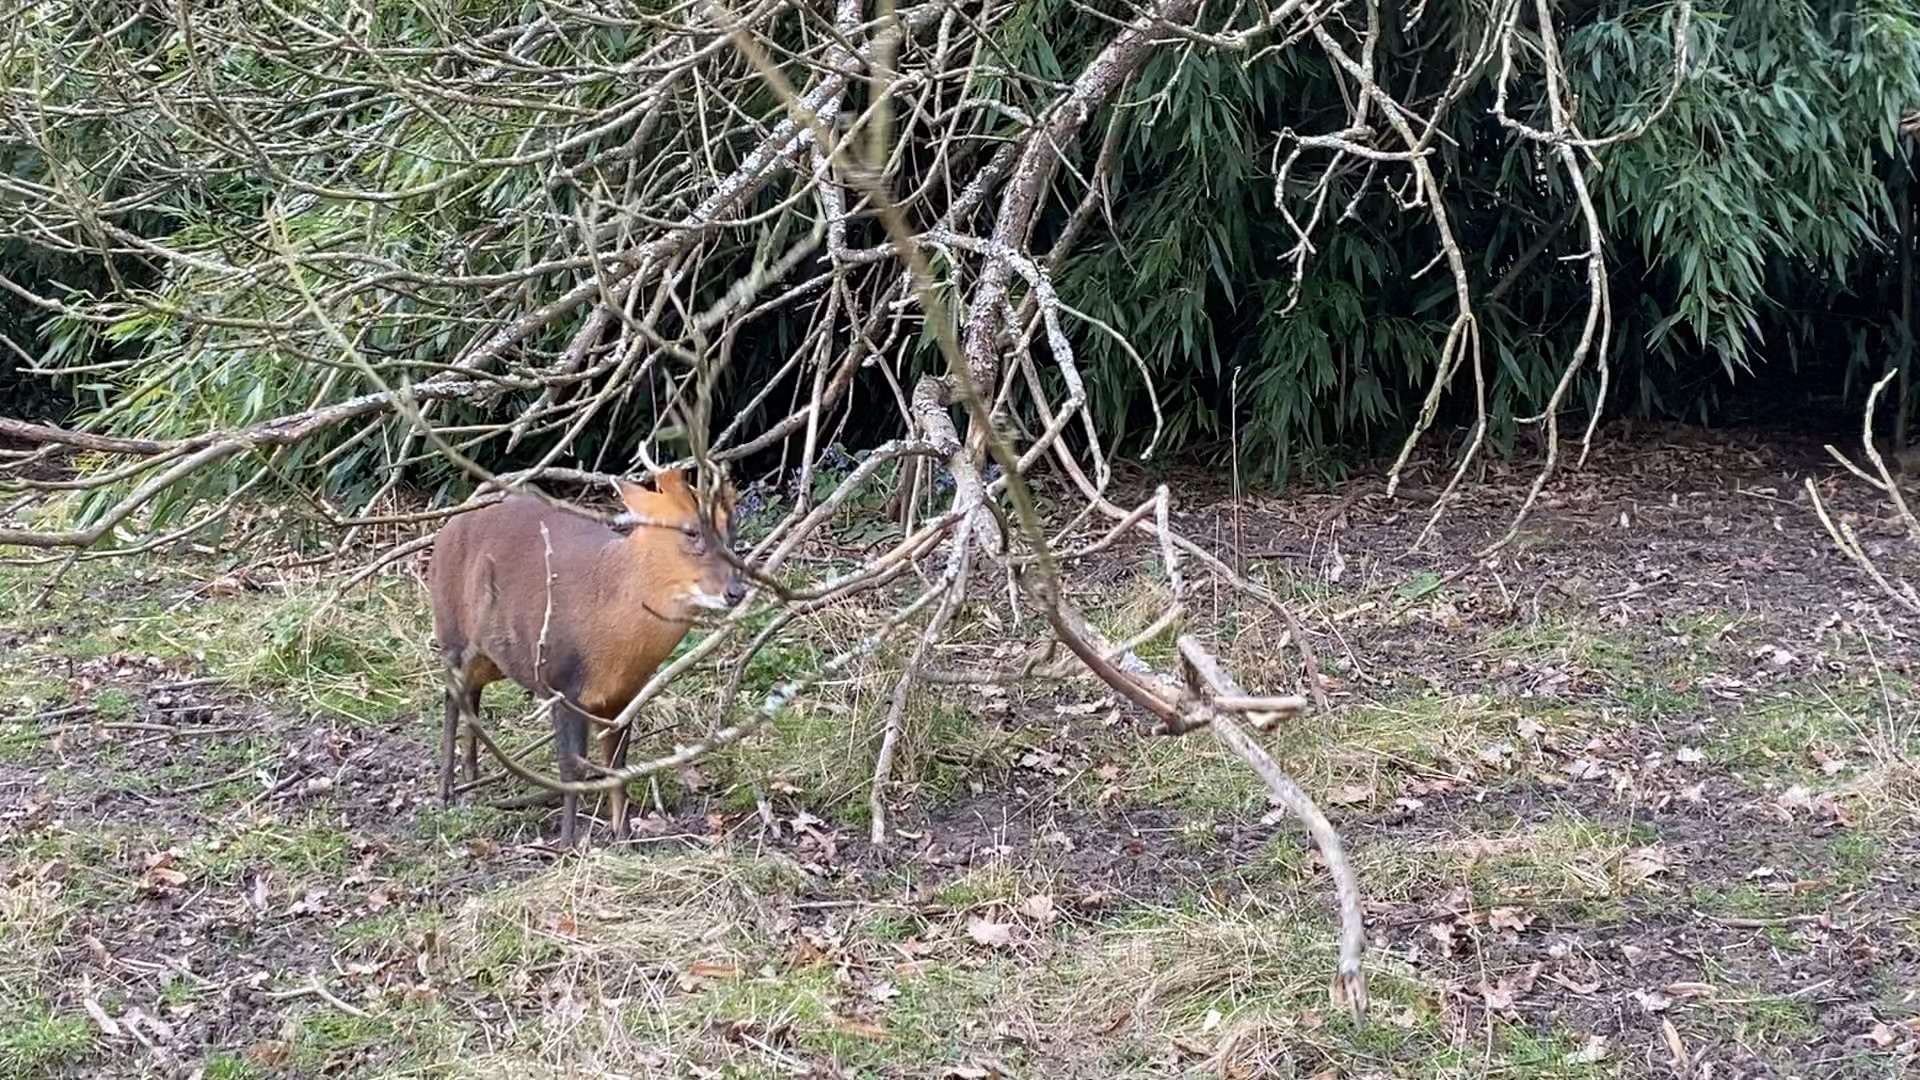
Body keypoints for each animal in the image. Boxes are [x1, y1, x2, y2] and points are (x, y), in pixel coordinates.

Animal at [432, 468, 744, 841]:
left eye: (731, 531)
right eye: (691, 531)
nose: (736, 591)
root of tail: (448, 526)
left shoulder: (624, 697)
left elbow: (617, 765)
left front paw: (623, 836)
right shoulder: (561, 685)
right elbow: (571, 768)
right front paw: (568, 841)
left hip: (492, 657)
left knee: (471, 696)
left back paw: (471, 784)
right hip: (451, 631)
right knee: (451, 696)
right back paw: (446, 792)